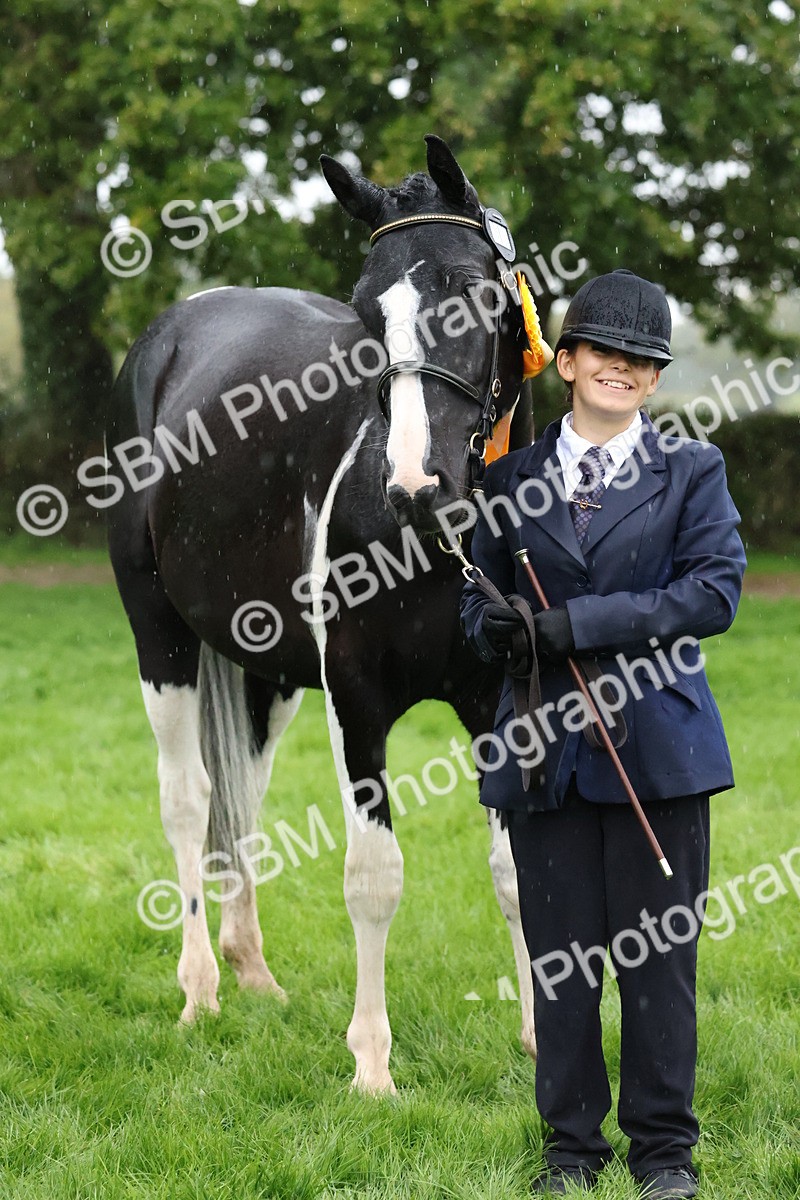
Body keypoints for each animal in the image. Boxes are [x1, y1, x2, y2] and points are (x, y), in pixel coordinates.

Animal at [107, 135, 537, 1093]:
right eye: (365, 314)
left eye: (471, 291)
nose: (418, 484)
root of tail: (170, 333)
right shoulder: (358, 701)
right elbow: (373, 875)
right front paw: (372, 1067)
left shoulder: (500, 702)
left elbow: (513, 868)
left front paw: (541, 1039)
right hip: (161, 636)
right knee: (190, 798)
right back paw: (200, 991)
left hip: (263, 671)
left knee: (242, 798)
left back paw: (254, 974)